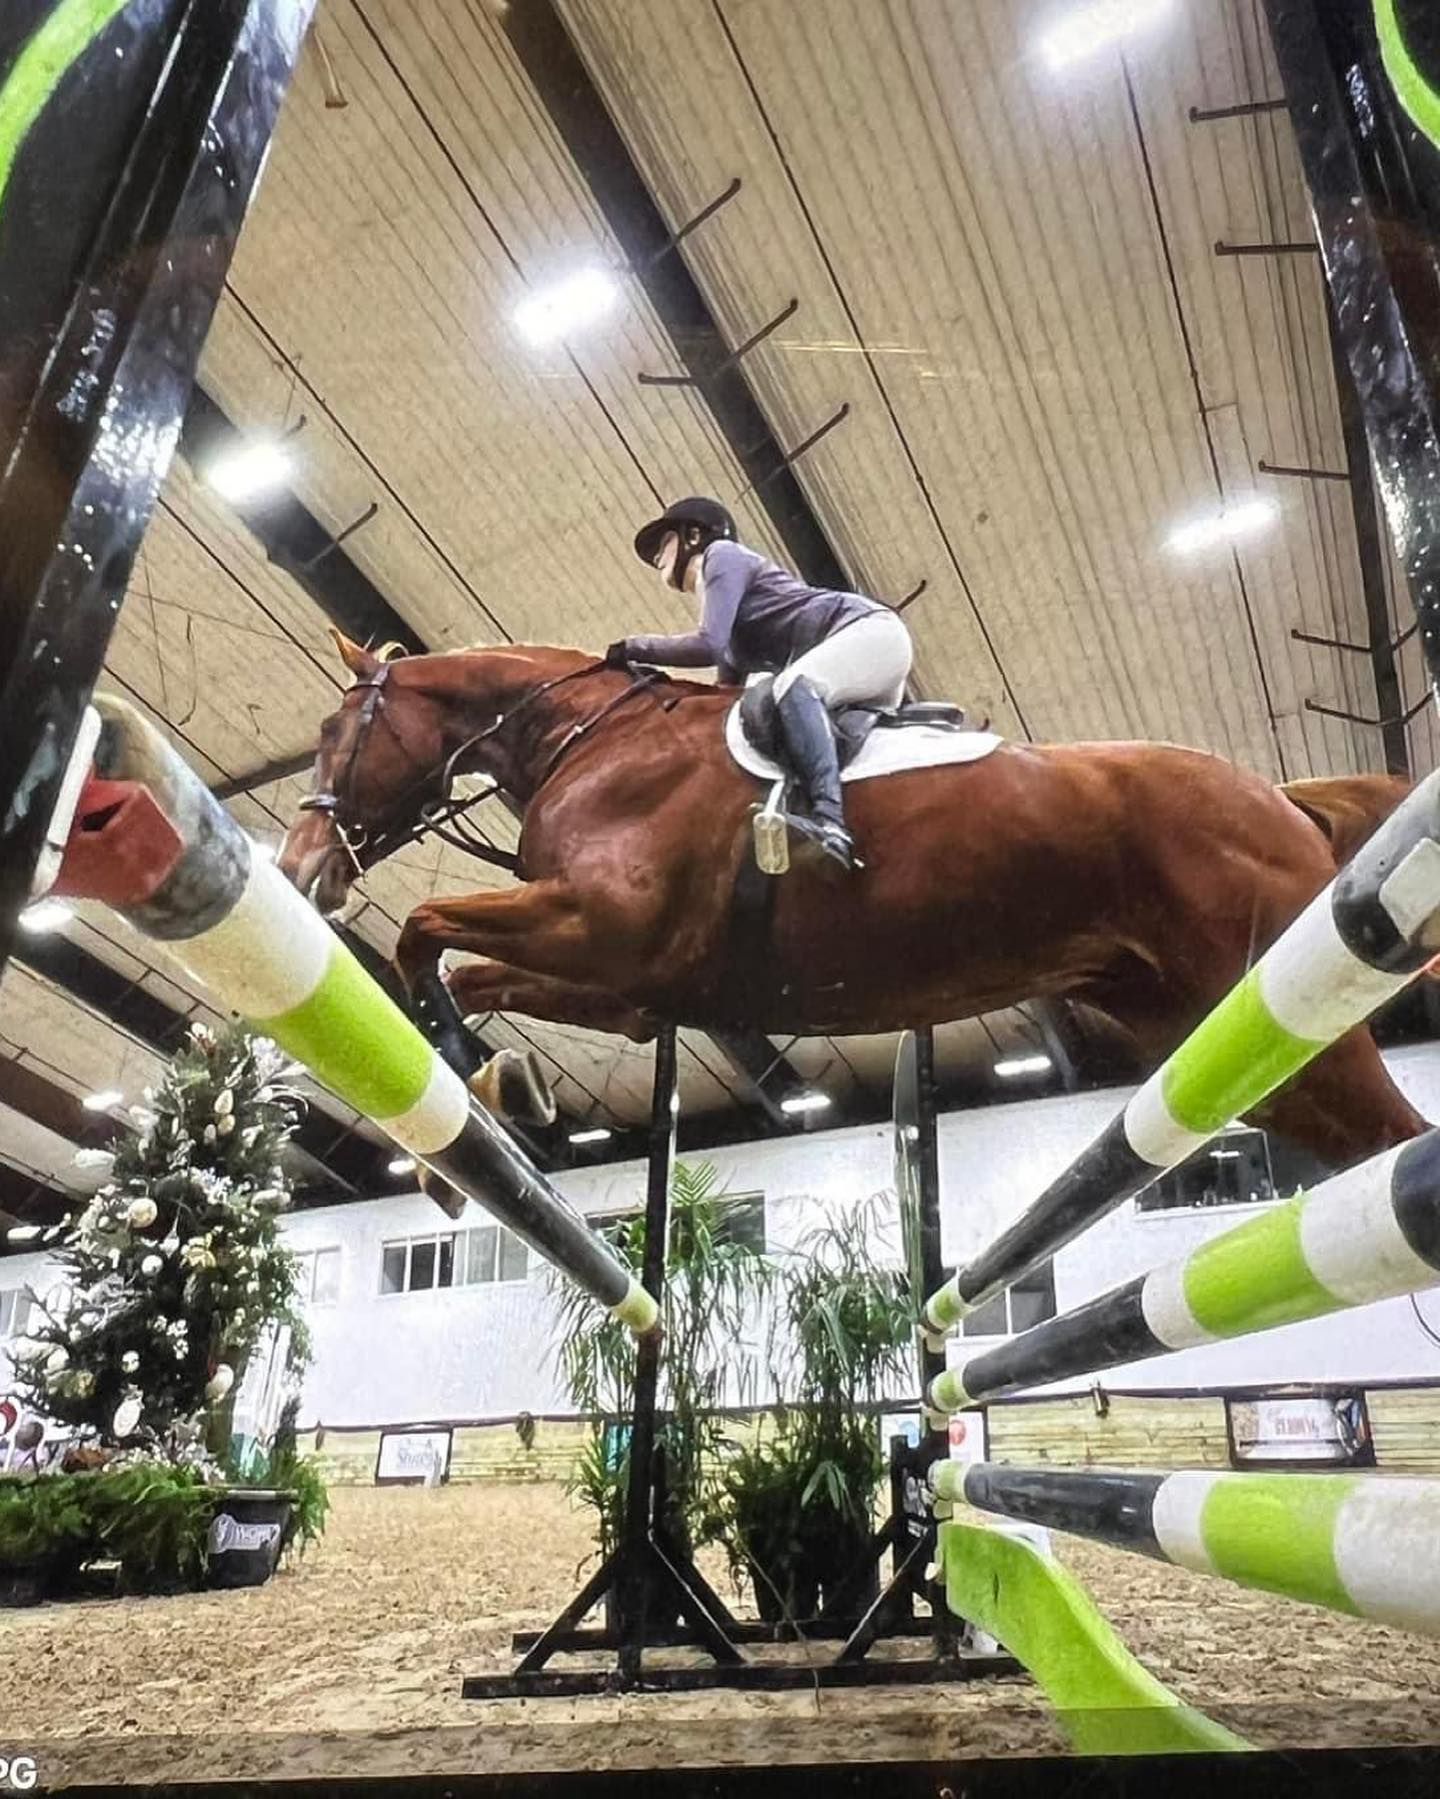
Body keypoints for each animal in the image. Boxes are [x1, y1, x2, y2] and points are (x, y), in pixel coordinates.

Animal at [277, 633, 1428, 1171]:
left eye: (334, 734)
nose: (297, 868)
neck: (594, 740)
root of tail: (1279, 799)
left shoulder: (607, 928)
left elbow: (423, 932)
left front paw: (470, 1071)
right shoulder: (633, 986)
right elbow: (471, 970)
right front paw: (511, 1084)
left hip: (1294, 1024)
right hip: (1240, 1045)